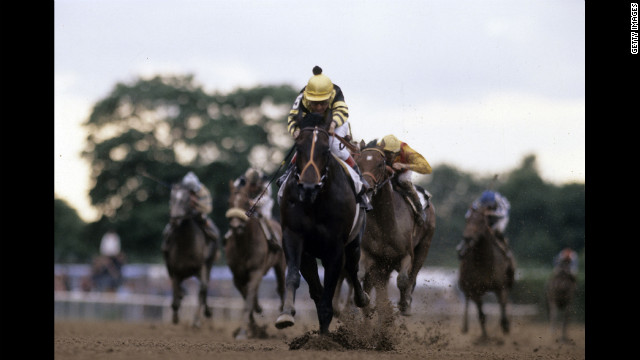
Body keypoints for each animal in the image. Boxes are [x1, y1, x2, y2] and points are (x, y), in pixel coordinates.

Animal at [162, 184, 218, 328]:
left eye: (187, 200)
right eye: (172, 199)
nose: (175, 219)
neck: (186, 245)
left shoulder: (202, 266)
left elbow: (202, 289)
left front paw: (197, 320)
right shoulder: (175, 270)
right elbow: (176, 292)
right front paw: (175, 317)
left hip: (208, 267)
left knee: (204, 289)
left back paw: (206, 313)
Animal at [225, 180, 284, 340]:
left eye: (245, 202)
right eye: (230, 202)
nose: (236, 226)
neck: (243, 245)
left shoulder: (256, 270)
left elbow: (249, 295)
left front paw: (244, 331)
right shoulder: (237, 275)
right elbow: (247, 295)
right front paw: (250, 327)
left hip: (281, 264)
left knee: (281, 287)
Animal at [274, 113, 370, 334]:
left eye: (326, 149)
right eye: (298, 147)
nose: (308, 187)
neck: (314, 202)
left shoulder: (335, 247)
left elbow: (330, 288)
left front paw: (325, 334)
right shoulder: (293, 236)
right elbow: (294, 276)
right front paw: (286, 314)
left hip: (354, 243)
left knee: (352, 268)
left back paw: (362, 299)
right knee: (316, 289)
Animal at [356, 141, 436, 318]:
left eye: (380, 164)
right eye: (358, 162)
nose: (365, 188)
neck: (385, 225)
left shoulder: (407, 255)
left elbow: (403, 279)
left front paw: (404, 303)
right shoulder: (370, 254)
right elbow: (360, 274)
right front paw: (364, 300)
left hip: (424, 246)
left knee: (413, 274)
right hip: (383, 266)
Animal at [460, 205, 516, 338]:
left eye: (481, 221)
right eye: (467, 220)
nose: (467, 237)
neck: (483, 262)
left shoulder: (501, 287)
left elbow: (503, 308)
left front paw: (506, 327)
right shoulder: (475, 290)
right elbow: (481, 315)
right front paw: (484, 337)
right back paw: (465, 327)